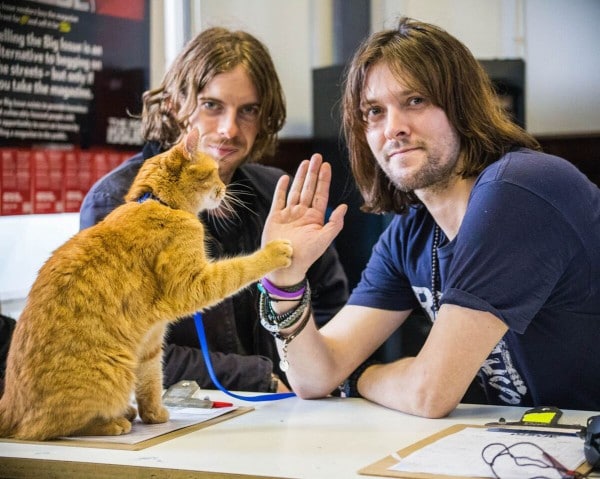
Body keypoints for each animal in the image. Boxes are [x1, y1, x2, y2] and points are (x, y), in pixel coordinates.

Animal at [0, 128, 292, 442]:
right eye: (213, 172)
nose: (224, 189)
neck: (160, 203)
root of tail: (9, 407)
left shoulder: (151, 341)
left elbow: (151, 381)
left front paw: (154, 415)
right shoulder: (193, 285)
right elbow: (239, 268)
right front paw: (274, 251)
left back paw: (127, 413)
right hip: (113, 370)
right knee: (54, 427)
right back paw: (113, 422)